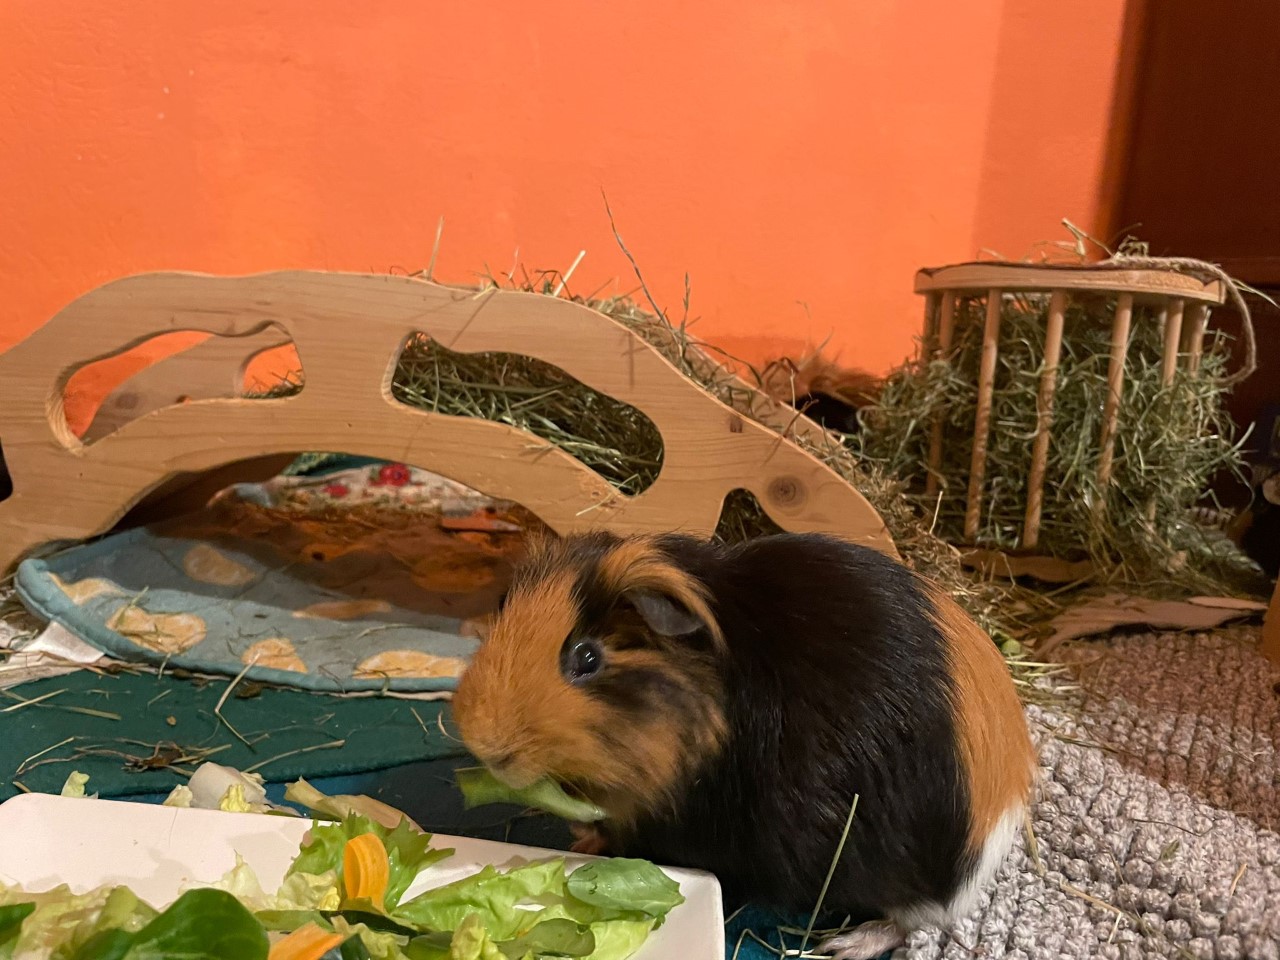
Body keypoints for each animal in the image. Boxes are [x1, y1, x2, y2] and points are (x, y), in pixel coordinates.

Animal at [450, 531, 1036, 959]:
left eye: (586, 657)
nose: (484, 742)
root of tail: (999, 812)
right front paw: (580, 836)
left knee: (912, 919)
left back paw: (845, 945)